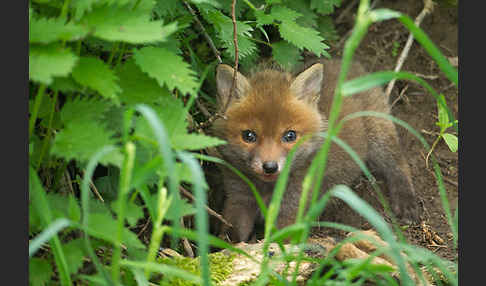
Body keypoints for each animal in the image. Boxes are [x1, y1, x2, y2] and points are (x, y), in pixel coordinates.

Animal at [211, 59, 420, 242]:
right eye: (249, 136)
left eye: (290, 136)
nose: (269, 167)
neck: (267, 189)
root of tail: (353, 65)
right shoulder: (238, 199)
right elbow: (231, 236)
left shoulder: (293, 204)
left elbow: (282, 240)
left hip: (379, 138)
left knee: (399, 164)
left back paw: (406, 202)